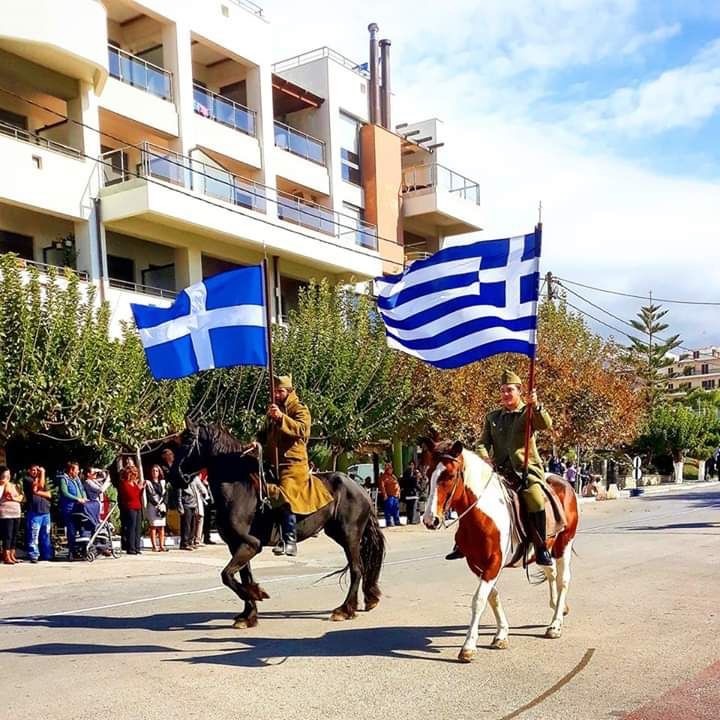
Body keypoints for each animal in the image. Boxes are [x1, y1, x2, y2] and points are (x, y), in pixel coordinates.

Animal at [169, 420, 386, 628]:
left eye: (187, 442)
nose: (174, 476)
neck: (238, 488)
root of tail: (361, 488)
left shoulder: (250, 544)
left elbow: (227, 575)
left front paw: (256, 594)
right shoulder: (236, 545)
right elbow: (242, 576)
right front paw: (248, 615)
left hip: (350, 535)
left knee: (357, 569)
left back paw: (345, 609)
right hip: (340, 534)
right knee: (358, 567)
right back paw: (366, 600)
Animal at [422, 436, 580, 660]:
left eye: (450, 475)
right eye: (428, 474)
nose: (430, 520)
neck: (483, 513)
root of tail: (563, 481)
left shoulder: (494, 562)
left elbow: (479, 599)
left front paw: (468, 646)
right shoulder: (476, 564)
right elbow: (492, 596)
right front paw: (501, 634)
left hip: (564, 544)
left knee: (562, 580)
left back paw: (555, 625)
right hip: (541, 550)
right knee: (551, 572)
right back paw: (558, 605)